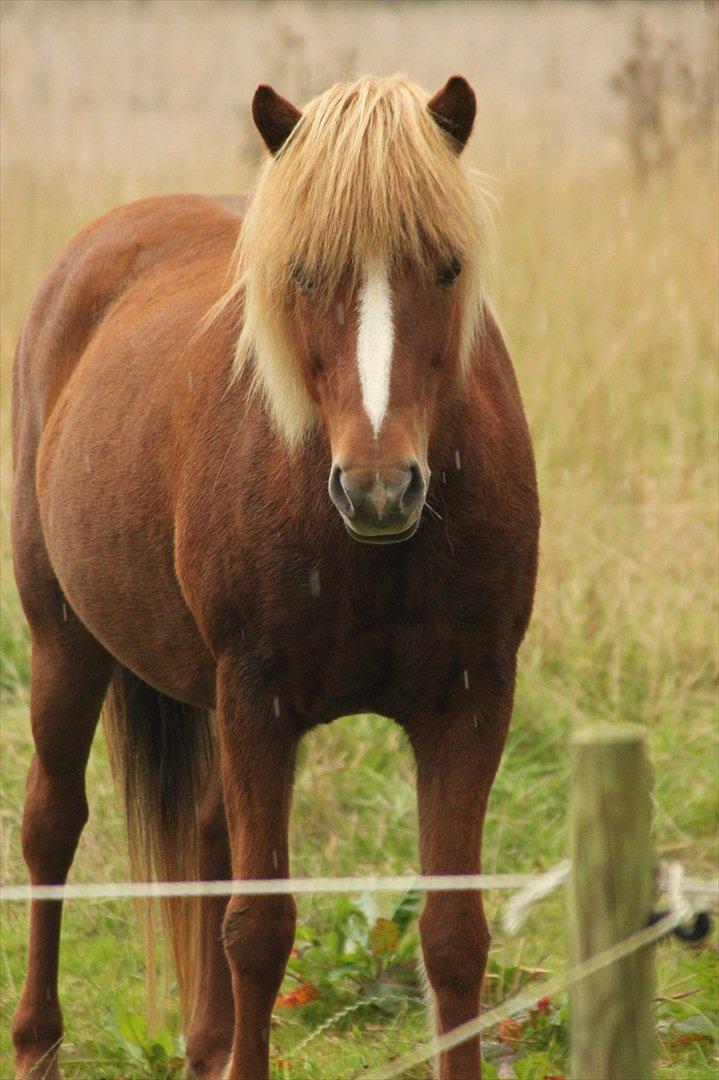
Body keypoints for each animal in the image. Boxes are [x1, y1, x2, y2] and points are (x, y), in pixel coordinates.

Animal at [11, 71, 537, 1075]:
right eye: (301, 273)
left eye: (447, 266)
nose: (379, 489)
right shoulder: (258, 699)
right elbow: (257, 931)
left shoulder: (469, 702)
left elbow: (454, 938)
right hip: (65, 644)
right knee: (51, 831)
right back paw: (36, 1044)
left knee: (209, 842)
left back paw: (205, 1046)